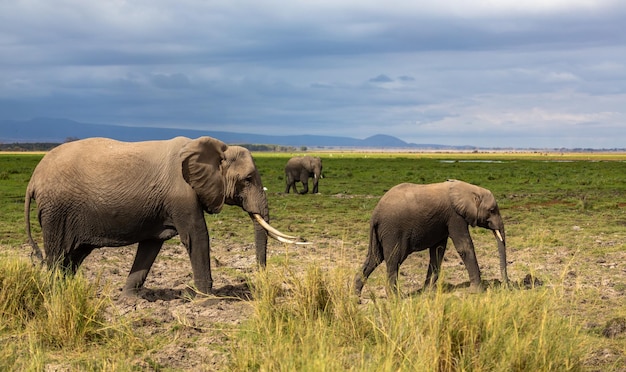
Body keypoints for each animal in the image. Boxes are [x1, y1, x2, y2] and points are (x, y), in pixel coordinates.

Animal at [26, 137, 302, 296]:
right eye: (248, 179)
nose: (260, 283)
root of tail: (33, 179)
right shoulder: (182, 194)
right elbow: (196, 236)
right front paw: (208, 299)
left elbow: (151, 244)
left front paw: (129, 299)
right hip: (57, 212)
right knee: (58, 255)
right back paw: (55, 294)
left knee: (73, 256)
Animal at [352, 179, 508, 296]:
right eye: (492, 210)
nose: (506, 286)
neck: (469, 189)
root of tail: (375, 214)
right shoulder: (455, 217)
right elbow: (464, 247)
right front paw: (477, 291)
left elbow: (438, 251)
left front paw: (428, 292)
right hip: (393, 231)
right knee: (393, 260)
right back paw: (395, 297)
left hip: (380, 233)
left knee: (374, 258)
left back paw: (356, 296)